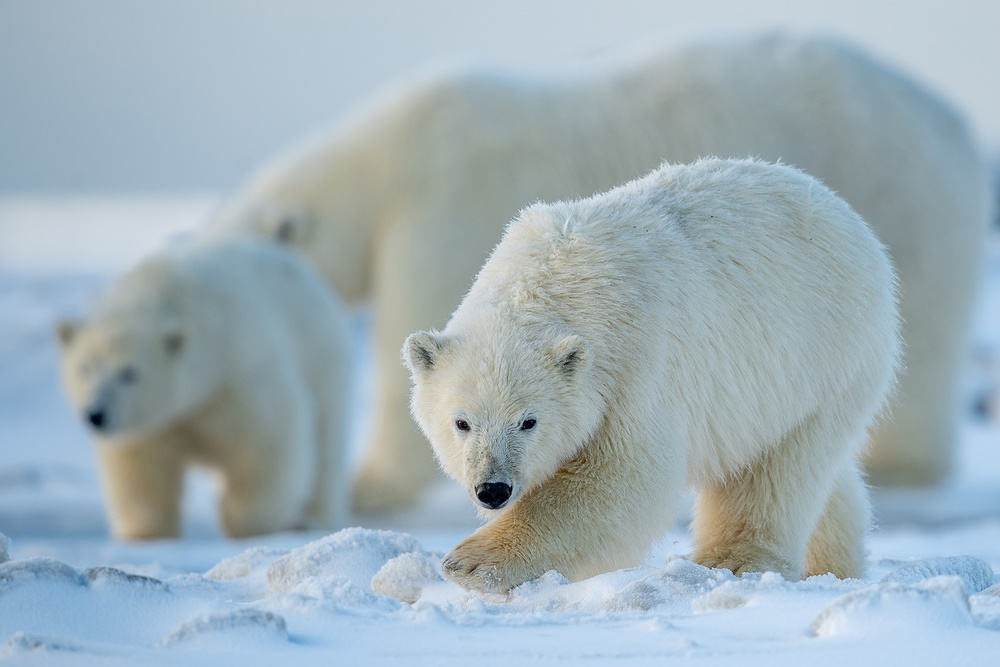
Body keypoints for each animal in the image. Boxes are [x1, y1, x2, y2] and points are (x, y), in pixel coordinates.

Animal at [56, 237, 352, 540]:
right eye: (84, 368)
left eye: (129, 373)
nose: (96, 414)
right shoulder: (156, 423)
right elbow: (141, 467)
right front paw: (146, 534)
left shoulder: (237, 372)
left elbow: (268, 439)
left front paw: (248, 524)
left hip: (322, 362)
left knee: (325, 444)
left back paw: (313, 519)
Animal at [205, 32, 992, 512]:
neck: (384, 165)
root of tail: (954, 121)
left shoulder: (443, 211)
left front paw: (369, 485)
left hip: (904, 201)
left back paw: (900, 464)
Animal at [402, 158, 904, 596]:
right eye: (462, 422)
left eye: (529, 421)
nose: (493, 490)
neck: (554, 280)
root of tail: (847, 215)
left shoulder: (636, 363)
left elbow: (625, 476)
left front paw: (470, 562)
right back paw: (835, 565)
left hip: (827, 352)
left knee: (775, 469)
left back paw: (733, 561)